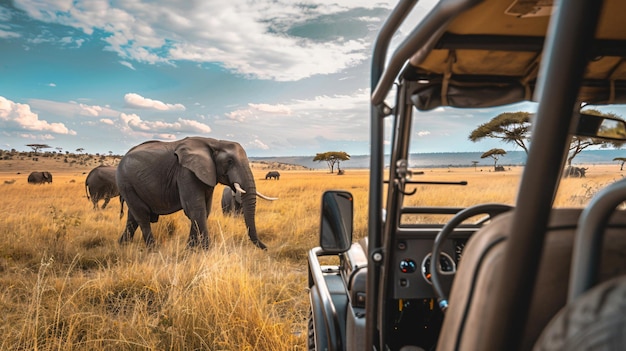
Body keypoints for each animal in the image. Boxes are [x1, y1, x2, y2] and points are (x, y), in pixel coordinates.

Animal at [115, 138, 276, 250]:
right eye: (230, 161)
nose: (267, 248)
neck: (215, 142)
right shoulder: (186, 172)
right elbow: (195, 209)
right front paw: (206, 251)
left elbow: (204, 210)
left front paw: (190, 250)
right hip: (125, 182)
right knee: (142, 216)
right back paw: (153, 250)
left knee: (133, 217)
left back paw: (122, 245)